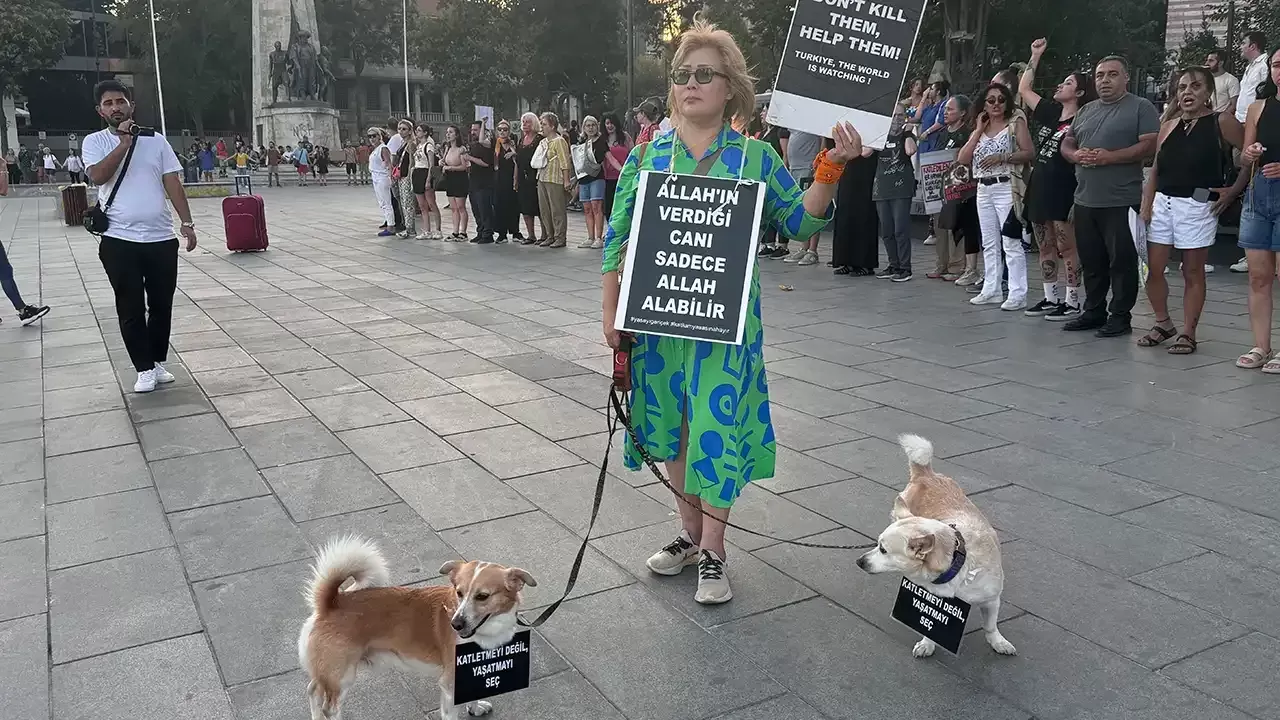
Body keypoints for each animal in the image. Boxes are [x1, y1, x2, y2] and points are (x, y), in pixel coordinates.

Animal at [298, 532, 535, 717]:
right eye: (459, 593)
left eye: (483, 596)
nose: (455, 624)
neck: (487, 632)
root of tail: (330, 603)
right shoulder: (449, 685)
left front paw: (475, 708)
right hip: (342, 675)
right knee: (329, 707)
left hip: (328, 672)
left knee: (312, 691)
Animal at [855, 430, 1013, 655]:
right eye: (878, 544)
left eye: (883, 550)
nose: (859, 561)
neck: (958, 563)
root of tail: (926, 474)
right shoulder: (931, 597)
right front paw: (927, 644)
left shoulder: (991, 600)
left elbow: (990, 626)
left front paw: (998, 642)